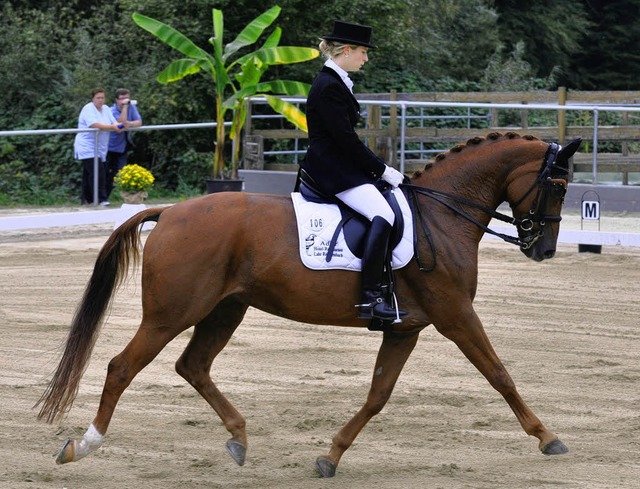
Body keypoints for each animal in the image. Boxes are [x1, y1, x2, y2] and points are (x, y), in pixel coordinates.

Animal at [37, 131, 584, 476]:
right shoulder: (456, 316)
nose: (543, 250)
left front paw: (331, 457)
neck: (442, 215)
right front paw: (548, 437)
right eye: (557, 186)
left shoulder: (405, 328)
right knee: (122, 367)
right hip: (172, 313)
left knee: (193, 365)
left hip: (226, 309)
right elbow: (500, 374)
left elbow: (378, 395)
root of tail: (169, 212)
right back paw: (81, 446)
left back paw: (239, 439)